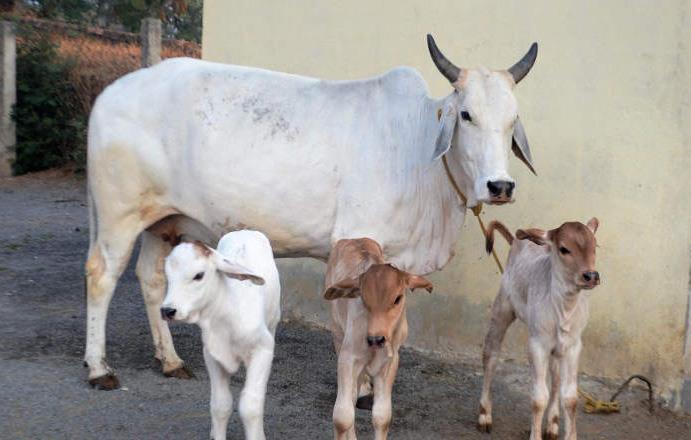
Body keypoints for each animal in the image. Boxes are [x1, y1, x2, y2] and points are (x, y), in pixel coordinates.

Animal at [84, 35, 540, 388]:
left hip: (162, 221)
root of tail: (111, 91)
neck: (418, 150)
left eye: (513, 119)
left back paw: (170, 360)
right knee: (101, 275)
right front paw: (360, 391)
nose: (500, 186)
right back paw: (98, 368)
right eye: (466, 115)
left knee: (151, 278)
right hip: (119, 214)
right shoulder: (356, 245)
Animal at [162, 230, 282, 440]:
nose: (168, 310)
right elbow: (220, 405)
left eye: (199, 275)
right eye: (168, 275)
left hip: (273, 321)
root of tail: (246, 230)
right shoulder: (212, 355)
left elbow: (250, 407)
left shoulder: (263, 349)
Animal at [324, 239, 432, 438]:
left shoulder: (390, 360)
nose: (377, 339)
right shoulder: (348, 357)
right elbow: (342, 417)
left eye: (397, 298)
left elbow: (382, 416)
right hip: (337, 333)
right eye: (363, 298)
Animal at [478, 218, 604, 438]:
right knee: (491, 356)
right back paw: (485, 414)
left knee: (555, 378)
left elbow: (570, 397)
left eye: (594, 246)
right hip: (502, 308)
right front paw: (535, 434)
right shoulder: (538, 344)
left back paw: (552, 424)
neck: (564, 309)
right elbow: (538, 398)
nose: (591, 275)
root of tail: (516, 241)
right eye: (564, 249)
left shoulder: (573, 346)